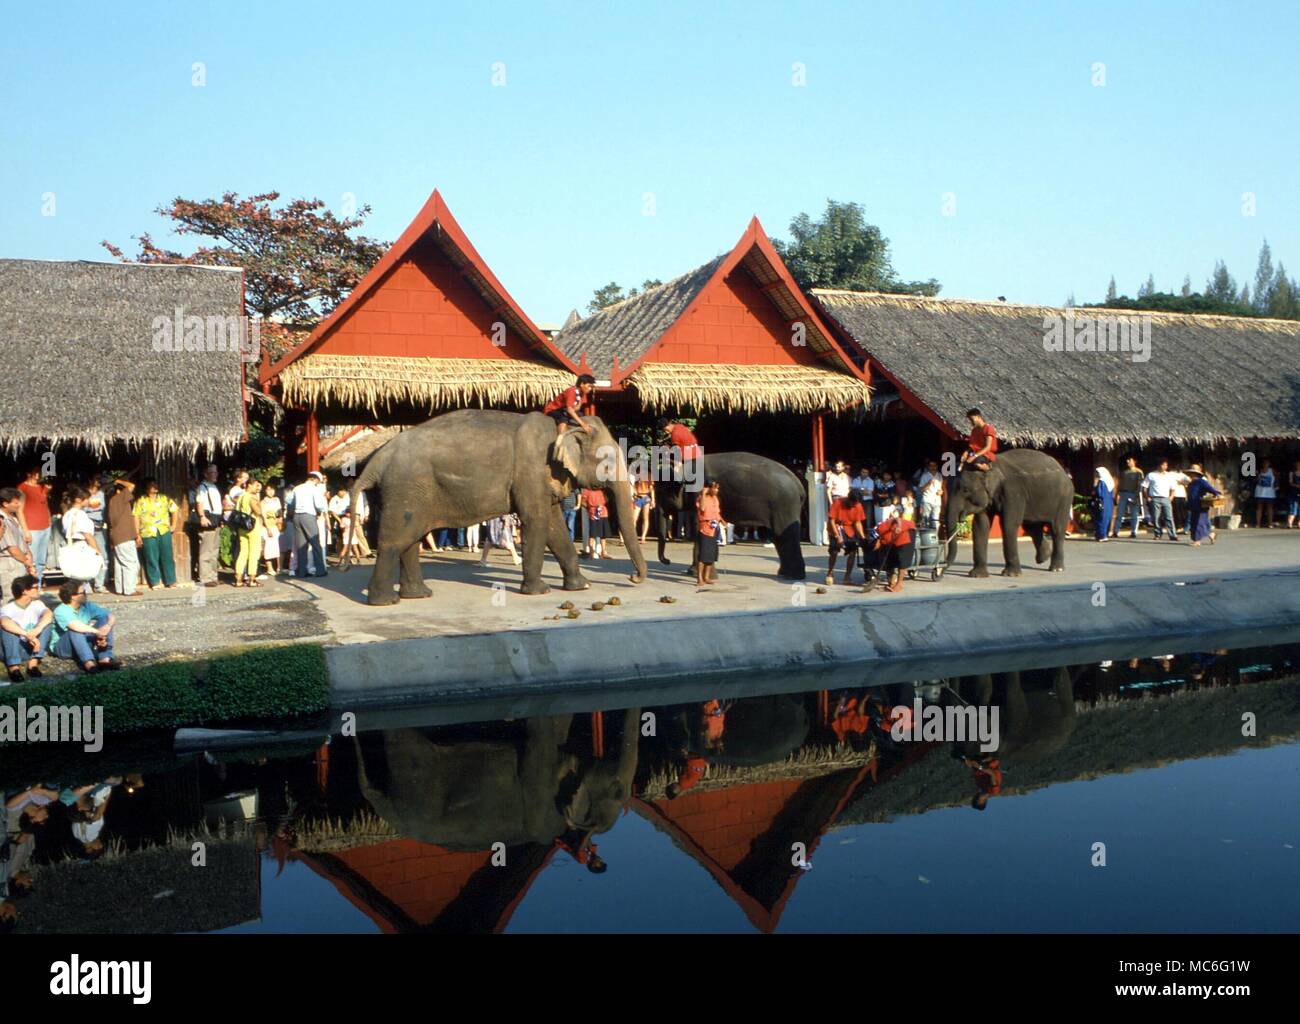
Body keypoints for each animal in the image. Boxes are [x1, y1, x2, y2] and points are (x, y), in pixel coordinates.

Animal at [348, 408, 647, 600]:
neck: (562, 427)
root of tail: (378, 457)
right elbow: (537, 521)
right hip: (406, 488)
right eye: (608, 462)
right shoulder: (531, 471)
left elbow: (555, 527)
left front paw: (581, 587)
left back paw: (419, 595)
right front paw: (539, 592)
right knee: (395, 541)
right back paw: (385, 601)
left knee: (409, 540)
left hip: (410, 492)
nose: (633, 578)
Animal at [655, 452, 806, 579]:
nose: (668, 561)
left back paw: (793, 576)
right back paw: (785, 574)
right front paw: (692, 572)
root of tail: (800, 486)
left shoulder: (700, 494)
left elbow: (700, 526)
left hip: (784, 504)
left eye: (663, 492)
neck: (684, 467)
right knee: (779, 536)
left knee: (784, 534)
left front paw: (693, 573)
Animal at [941, 447, 1071, 576]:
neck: (989, 466)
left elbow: (1008, 524)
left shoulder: (1013, 492)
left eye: (965, 490)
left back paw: (1056, 568)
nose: (939, 571)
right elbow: (980, 526)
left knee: (1057, 529)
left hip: (1064, 499)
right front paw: (977, 575)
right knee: (1031, 527)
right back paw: (1043, 558)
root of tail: (1063, 471)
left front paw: (1011, 574)